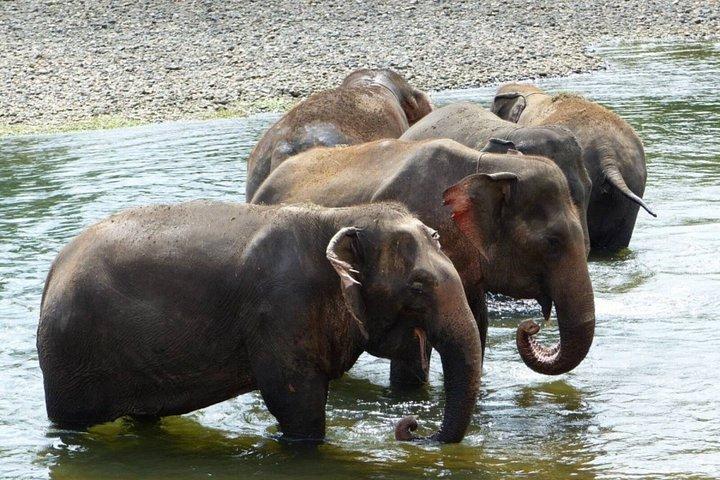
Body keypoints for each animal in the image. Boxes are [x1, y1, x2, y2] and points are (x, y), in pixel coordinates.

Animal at [36, 201, 482, 444]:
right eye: (418, 286)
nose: (411, 426)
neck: (340, 216)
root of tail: (54, 271)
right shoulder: (282, 306)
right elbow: (293, 399)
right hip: (71, 358)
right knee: (72, 422)